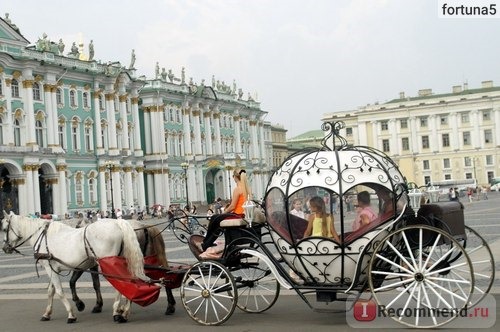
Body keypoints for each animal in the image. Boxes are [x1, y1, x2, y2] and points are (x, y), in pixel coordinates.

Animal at [0, 211, 147, 322]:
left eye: (3, 228)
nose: (4, 248)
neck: (42, 236)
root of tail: (117, 222)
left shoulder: (50, 268)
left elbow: (59, 291)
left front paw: (71, 314)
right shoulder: (53, 268)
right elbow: (51, 291)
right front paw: (47, 313)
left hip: (108, 263)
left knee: (121, 284)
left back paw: (117, 311)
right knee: (130, 281)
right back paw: (124, 311)